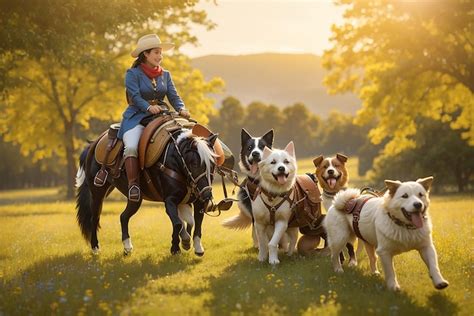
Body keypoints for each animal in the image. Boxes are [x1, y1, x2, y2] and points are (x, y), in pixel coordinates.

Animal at [76, 124, 218, 256]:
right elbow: (178, 223)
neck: (175, 161)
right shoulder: (170, 200)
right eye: (194, 163)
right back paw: (95, 247)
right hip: (97, 194)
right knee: (94, 218)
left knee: (123, 217)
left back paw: (127, 246)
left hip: (134, 198)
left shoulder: (197, 202)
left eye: (213, 164)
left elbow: (196, 222)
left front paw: (196, 246)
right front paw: (176, 248)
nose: (207, 194)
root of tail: (93, 144)